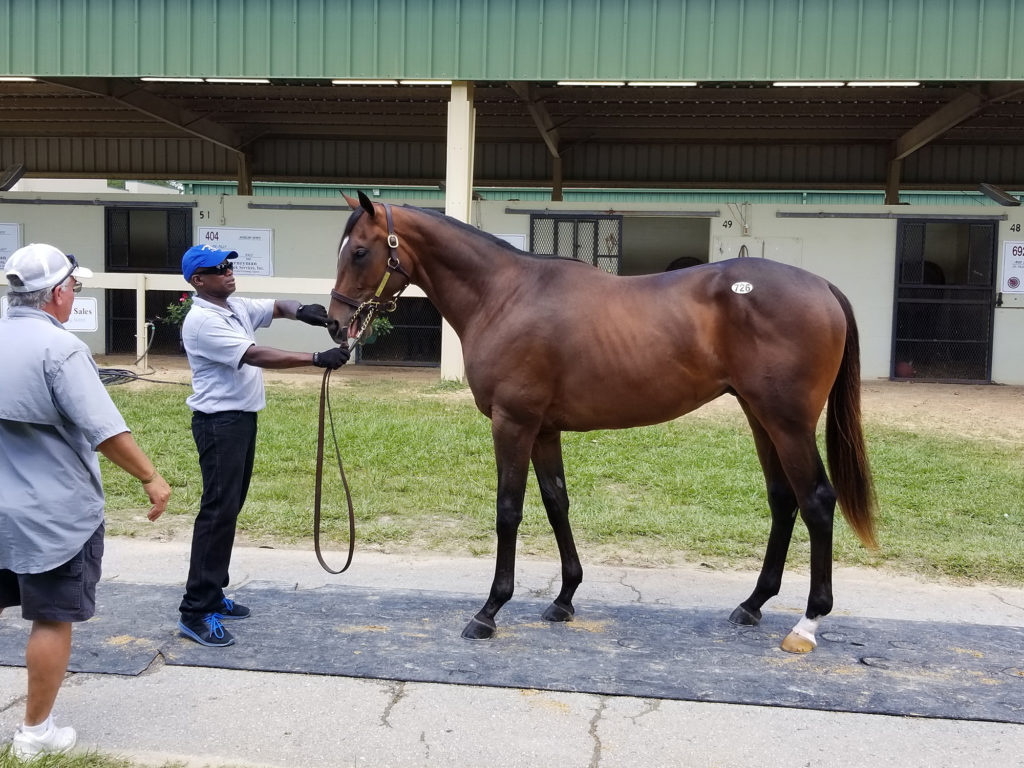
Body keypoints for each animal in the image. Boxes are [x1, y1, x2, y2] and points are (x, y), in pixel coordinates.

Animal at [331, 192, 876, 655]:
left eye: (359, 251)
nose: (336, 323)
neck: (504, 295)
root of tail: (822, 286)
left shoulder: (513, 424)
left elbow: (509, 510)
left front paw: (488, 612)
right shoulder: (543, 430)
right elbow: (557, 503)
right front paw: (564, 598)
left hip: (788, 424)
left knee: (816, 501)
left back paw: (807, 623)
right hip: (760, 417)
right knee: (783, 500)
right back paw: (752, 604)